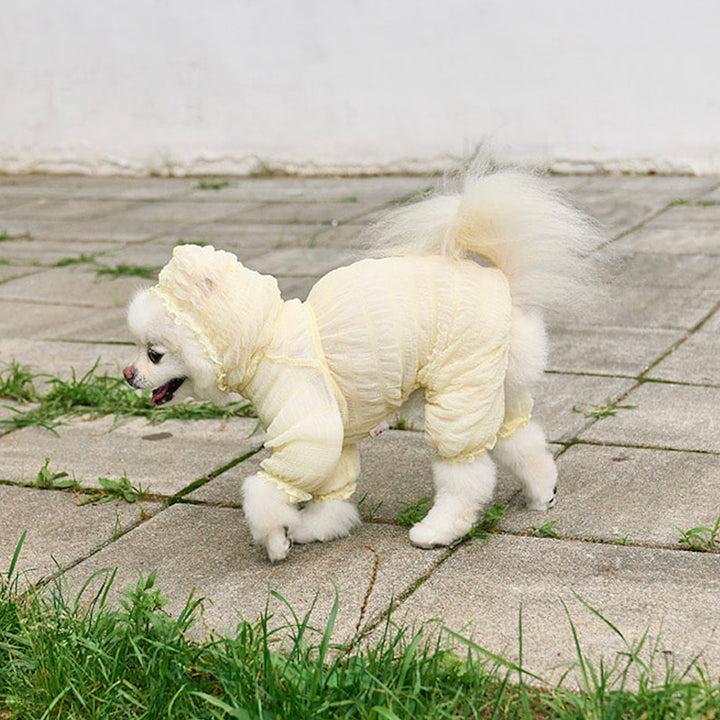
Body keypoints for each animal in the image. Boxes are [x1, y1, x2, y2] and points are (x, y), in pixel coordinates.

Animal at [123, 170, 601, 561]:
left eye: (153, 352)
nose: (127, 375)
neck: (265, 339)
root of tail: (506, 286)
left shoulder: (308, 427)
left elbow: (268, 488)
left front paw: (276, 538)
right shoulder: (338, 440)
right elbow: (333, 490)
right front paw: (316, 527)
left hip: (458, 389)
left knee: (466, 475)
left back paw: (437, 530)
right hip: (489, 387)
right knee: (521, 440)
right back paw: (543, 493)